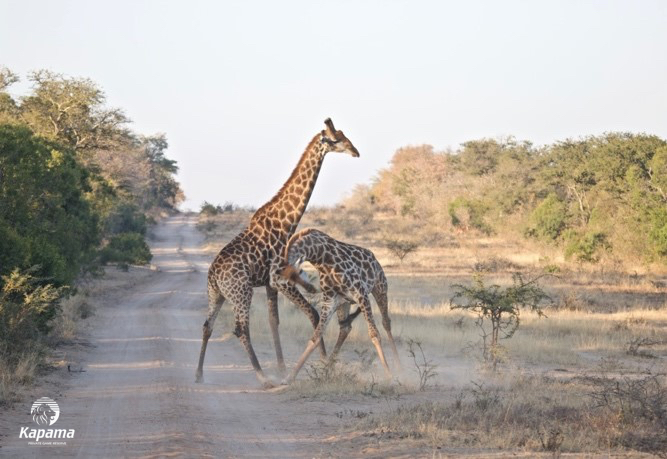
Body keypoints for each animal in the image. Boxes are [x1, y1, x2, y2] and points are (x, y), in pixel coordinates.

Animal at [195, 119, 359, 388]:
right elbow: (314, 315)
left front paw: (283, 368)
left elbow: (274, 322)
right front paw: (322, 363)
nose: (356, 152)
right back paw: (263, 377)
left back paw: (199, 374)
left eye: (346, 135)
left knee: (208, 325)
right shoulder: (280, 280)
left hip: (216, 294)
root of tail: (214, 277)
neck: (285, 222)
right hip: (242, 292)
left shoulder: (269, 283)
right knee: (241, 329)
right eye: (336, 140)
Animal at [279, 228, 401, 384]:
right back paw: (328, 368)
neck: (321, 257)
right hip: (344, 303)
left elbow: (374, 334)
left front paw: (389, 376)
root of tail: (375, 259)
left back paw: (398, 366)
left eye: (298, 273)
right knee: (345, 328)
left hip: (380, 289)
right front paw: (289, 377)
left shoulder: (360, 294)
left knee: (386, 323)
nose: (310, 288)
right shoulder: (330, 301)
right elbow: (315, 338)